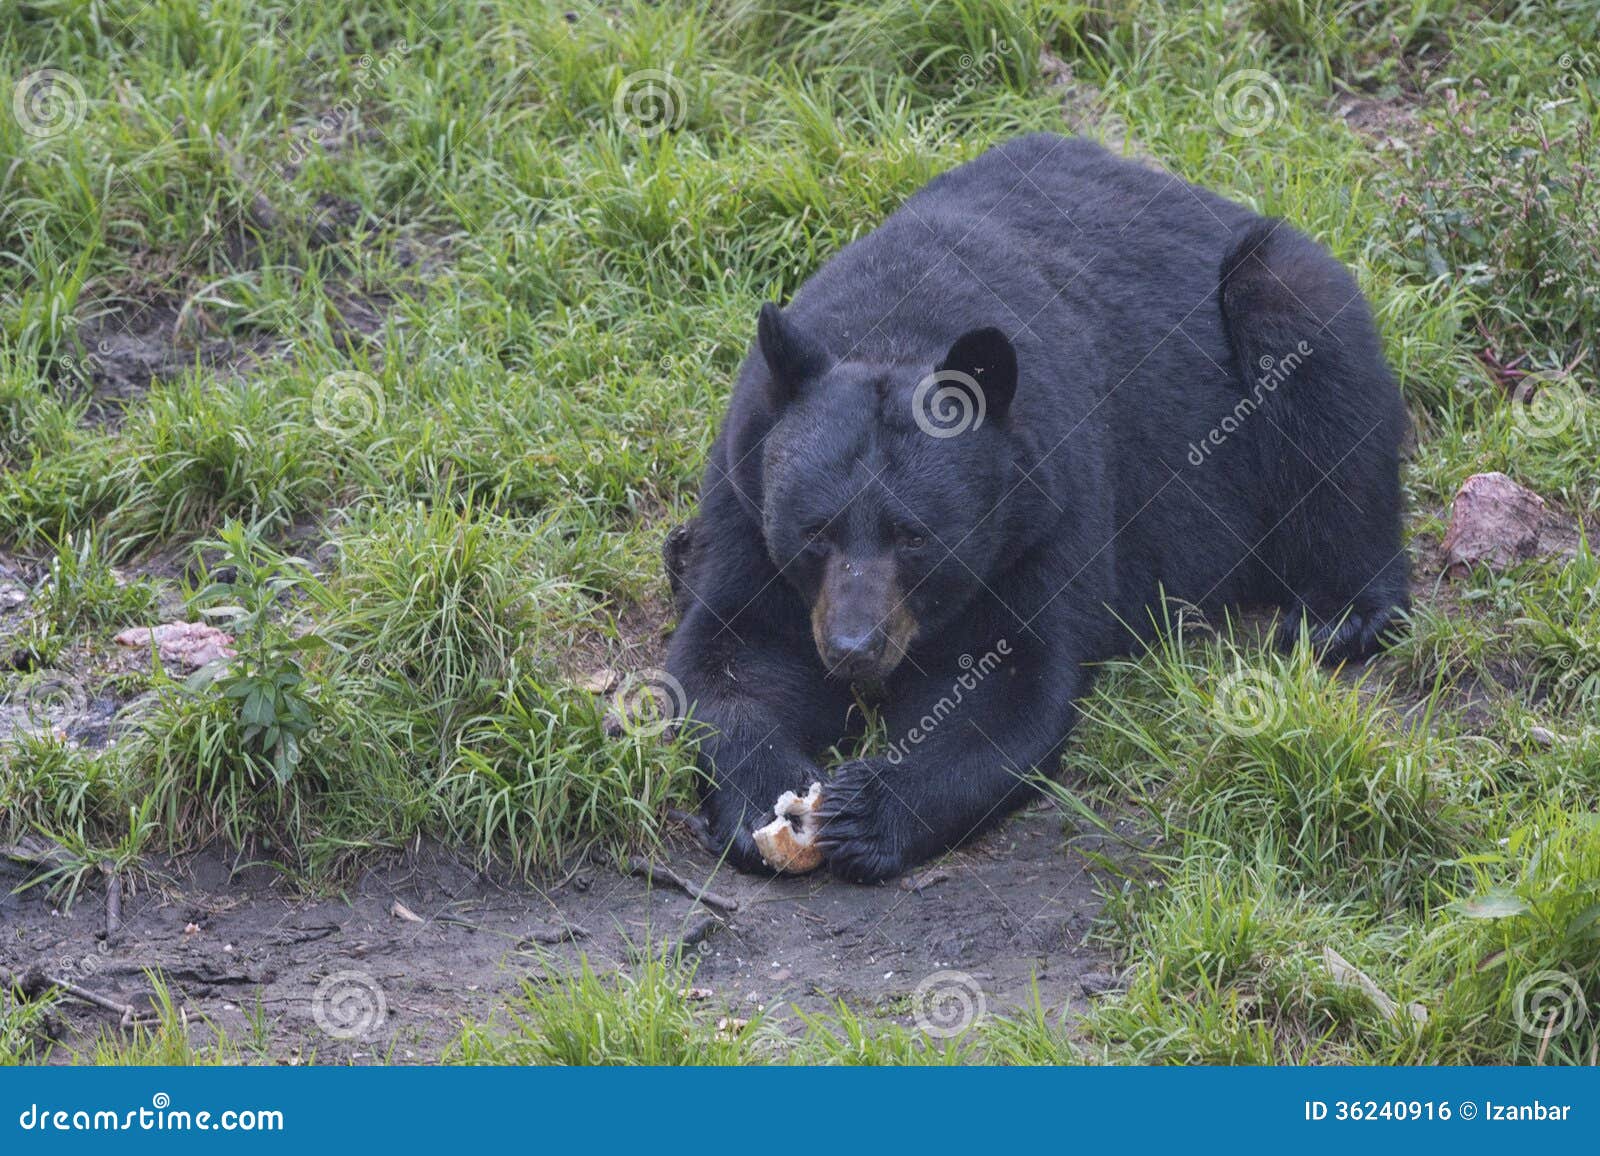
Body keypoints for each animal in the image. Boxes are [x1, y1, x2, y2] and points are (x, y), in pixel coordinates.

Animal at [662, 132, 1401, 871]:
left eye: (915, 536)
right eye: (815, 532)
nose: (854, 647)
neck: (897, 326)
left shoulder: (1050, 507)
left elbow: (1013, 675)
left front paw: (864, 811)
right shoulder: (744, 490)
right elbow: (734, 648)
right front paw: (767, 799)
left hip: (1274, 288)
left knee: (1325, 391)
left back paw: (1342, 615)